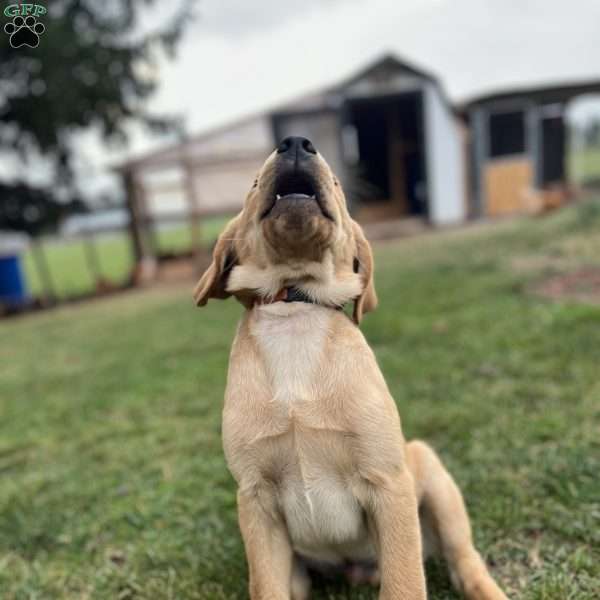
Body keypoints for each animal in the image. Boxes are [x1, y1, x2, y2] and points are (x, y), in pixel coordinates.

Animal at [193, 137, 506, 600]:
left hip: (430, 474)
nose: (295, 143)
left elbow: (405, 584)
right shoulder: (256, 501)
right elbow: (265, 586)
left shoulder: (388, 483)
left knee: (463, 559)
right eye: (252, 184)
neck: (295, 310)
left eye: (339, 185)